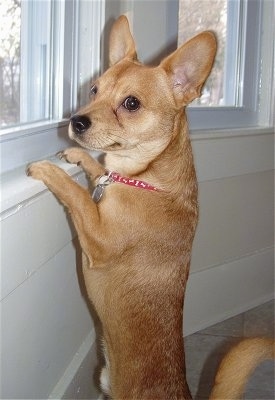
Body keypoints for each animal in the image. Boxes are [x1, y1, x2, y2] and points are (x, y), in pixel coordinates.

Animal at [27, 16, 274, 400]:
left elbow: (76, 194)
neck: (147, 180)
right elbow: (97, 170)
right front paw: (78, 157)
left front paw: (49, 170)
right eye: (94, 90)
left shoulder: (97, 239)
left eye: (131, 103)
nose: (77, 121)